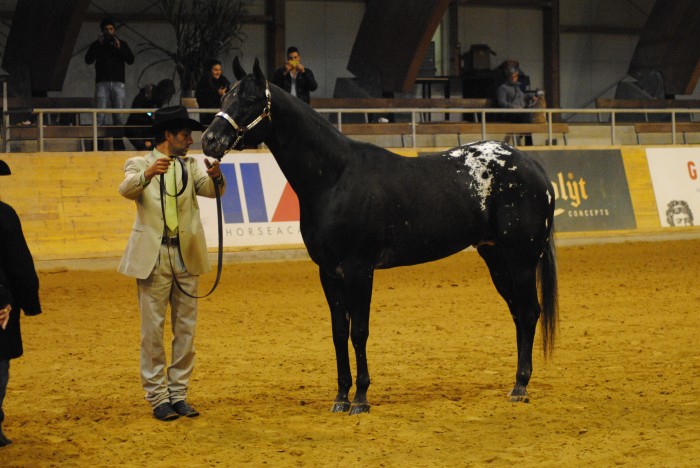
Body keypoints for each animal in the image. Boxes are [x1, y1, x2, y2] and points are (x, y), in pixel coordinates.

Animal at [201, 58, 558, 415]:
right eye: (224, 97)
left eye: (249, 100)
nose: (209, 140)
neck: (336, 178)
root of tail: (532, 165)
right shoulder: (329, 272)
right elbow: (338, 332)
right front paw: (341, 397)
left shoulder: (359, 269)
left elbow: (359, 331)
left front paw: (360, 397)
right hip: (496, 258)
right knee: (518, 314)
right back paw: (517, 381)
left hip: (522, 260)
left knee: (529, 312)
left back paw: (520, 386)